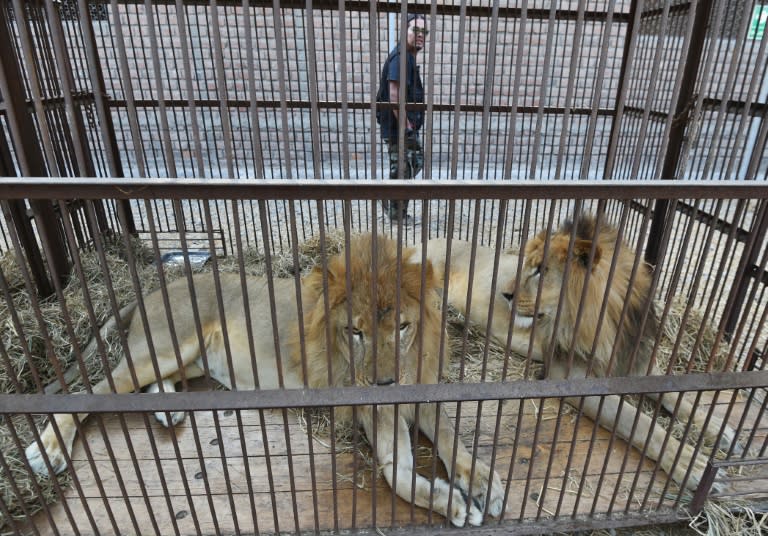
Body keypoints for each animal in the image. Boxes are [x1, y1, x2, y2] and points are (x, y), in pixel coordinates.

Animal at [25, 233, 504, 524]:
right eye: (356, 333)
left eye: (401, 327)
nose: (384, 384)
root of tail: (151, 290)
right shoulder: (372, 410)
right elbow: (399, 477)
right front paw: (455, 503)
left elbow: (450, 435)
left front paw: (481, 480)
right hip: (164, 348)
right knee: (92, 391)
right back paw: (46, 450)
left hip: (188, 359)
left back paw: (168, 409)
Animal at [424, 216, 736, 492]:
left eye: (540, 270)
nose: (504, 294)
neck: (603, 322)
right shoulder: (571, 377)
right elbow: (639, 423)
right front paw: (694, 465)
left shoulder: (632, 357)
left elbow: (675, 391)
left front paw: (717, 427)